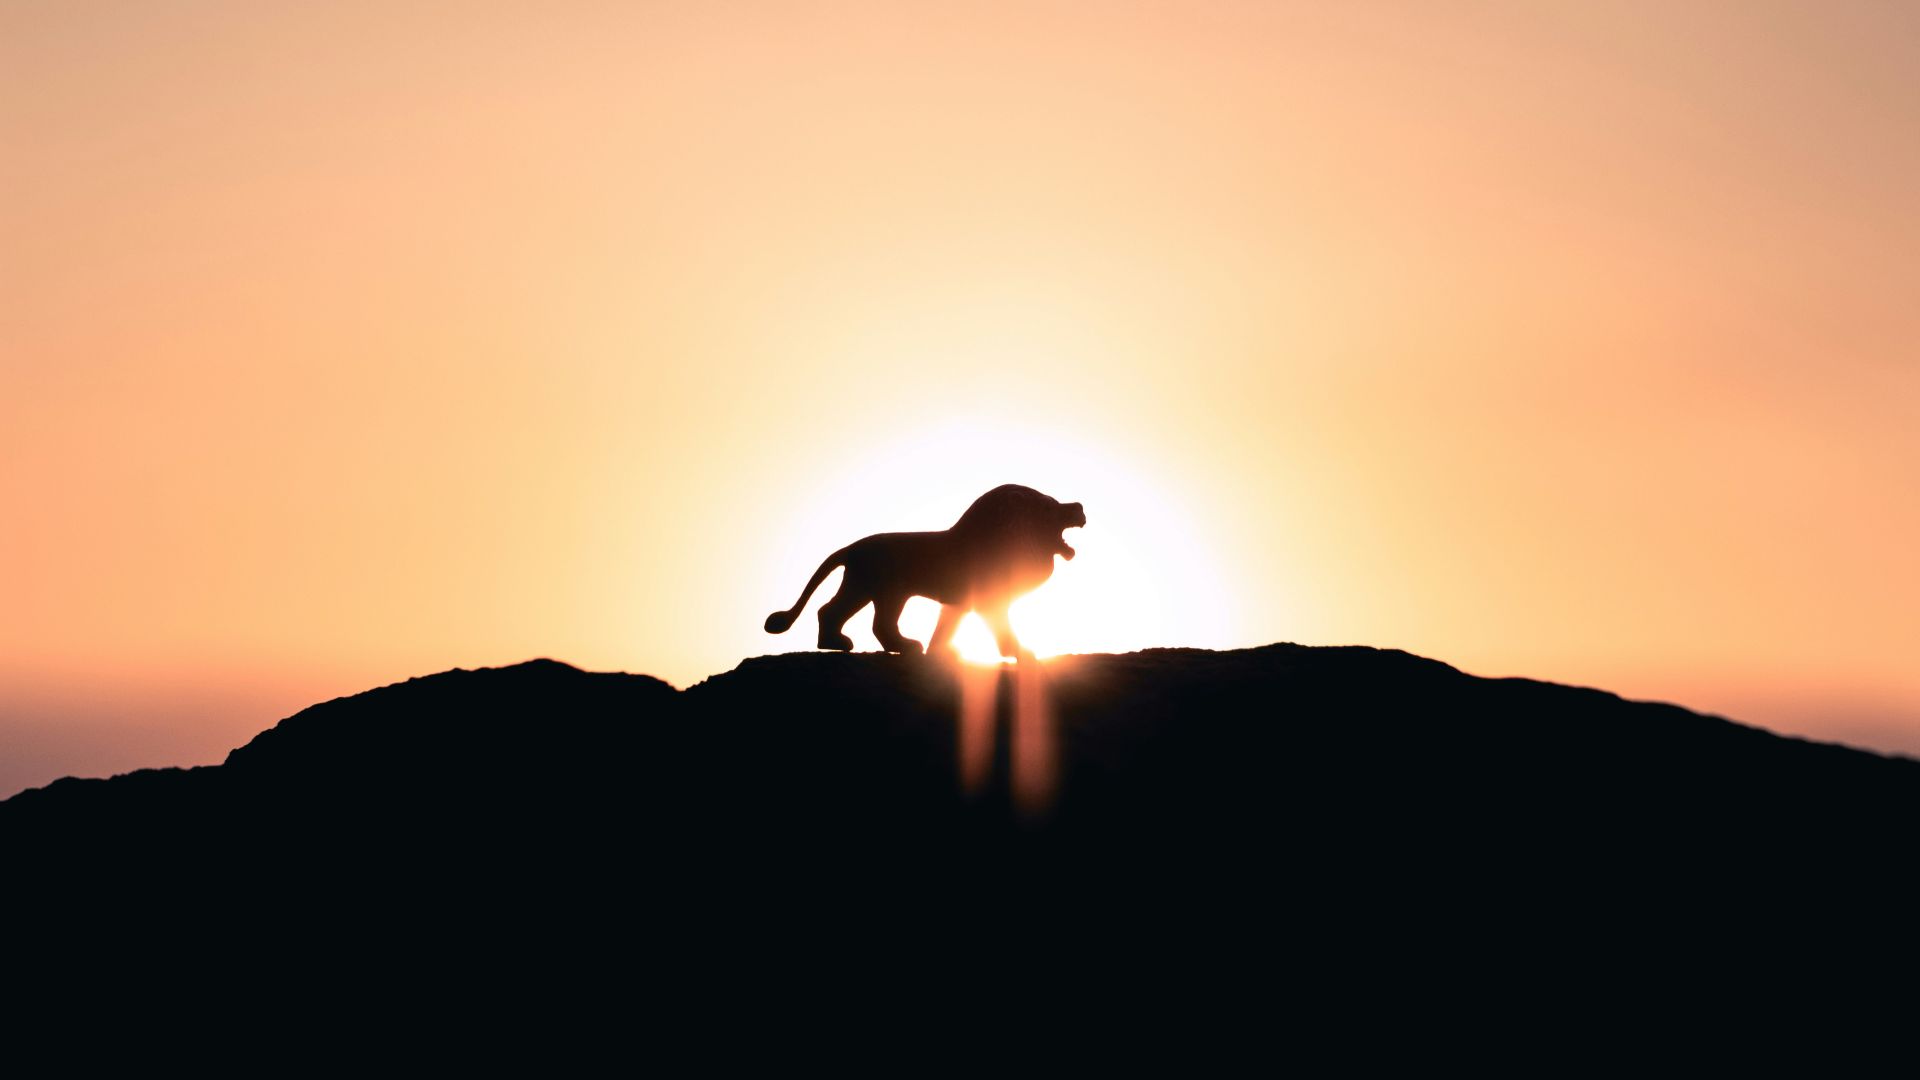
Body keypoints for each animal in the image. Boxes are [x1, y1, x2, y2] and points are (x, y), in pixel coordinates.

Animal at [764, 484, 1086, 658]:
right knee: (874, 622)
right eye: (1049, 506)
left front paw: (940, 652)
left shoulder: (958, 604)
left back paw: (836, 643)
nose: (1080, 506)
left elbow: (946, 627)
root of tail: (850, 547)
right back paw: (896, 646)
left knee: (837, 613)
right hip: (884, 589)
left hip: (866, 587)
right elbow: (1002, 627)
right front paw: (1018, 652)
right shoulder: (989, 601)